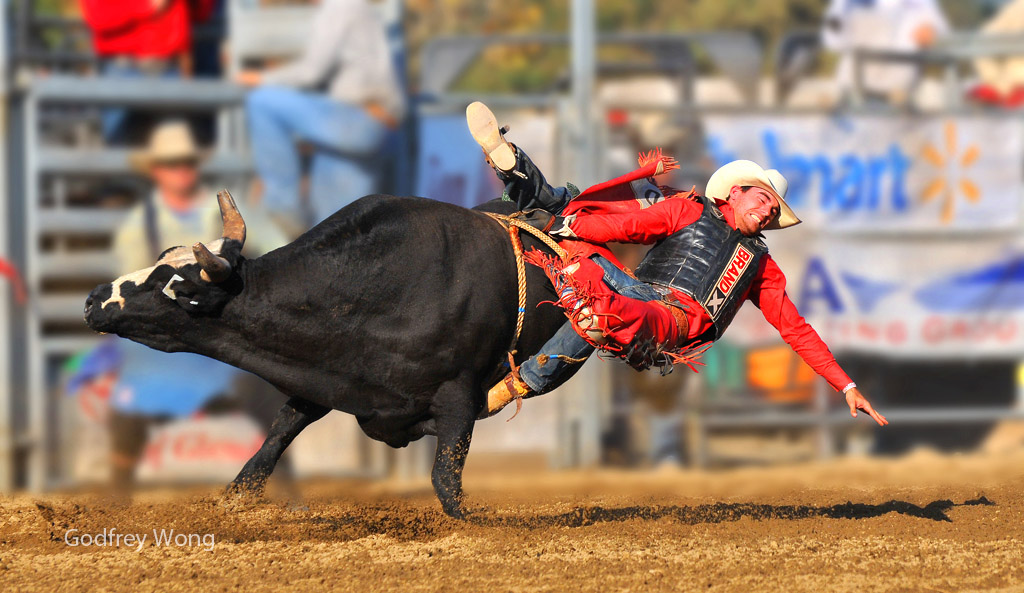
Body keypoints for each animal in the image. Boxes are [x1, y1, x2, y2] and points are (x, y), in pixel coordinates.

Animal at [84, 190, 573, 518]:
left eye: (177, 288)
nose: (93, 299)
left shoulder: (458, 395)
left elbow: (447, 483)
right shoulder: (323, 375)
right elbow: (272, 443)